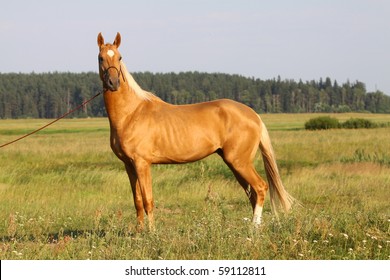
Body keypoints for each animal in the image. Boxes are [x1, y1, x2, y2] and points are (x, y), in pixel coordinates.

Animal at [96, 32, 292, 230]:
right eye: (101, 58)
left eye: (120, 58)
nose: (113, 83)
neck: (132, 113)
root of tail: (254, 115)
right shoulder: (129, 165)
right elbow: (137, 201)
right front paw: (139, 232)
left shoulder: (142, 164)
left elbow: (147, 200)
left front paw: (151, 233)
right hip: (236, 164)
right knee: (252, 193)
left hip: (239, 162)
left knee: (260, 187)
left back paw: (254, 229)